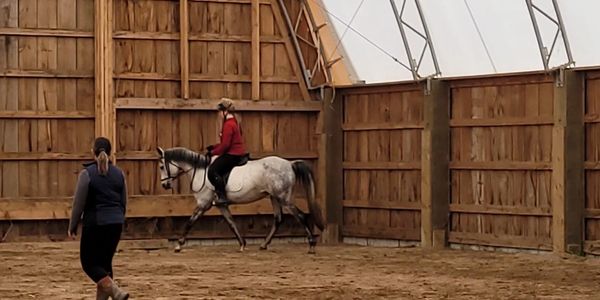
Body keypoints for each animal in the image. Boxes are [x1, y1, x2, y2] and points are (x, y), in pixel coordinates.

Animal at [155, 147, 324, 253]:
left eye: (162, 166)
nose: (164, 185)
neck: (201, 171)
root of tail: (289, 164)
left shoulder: (203, 204)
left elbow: (190, 222)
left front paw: (178, 245)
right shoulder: (221, 206)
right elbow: (231, 223)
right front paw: (242, 244)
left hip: (284, 198)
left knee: (300, 216)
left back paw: (311, 245)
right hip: (274, 197)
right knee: (278, 219)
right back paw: (263, 245)